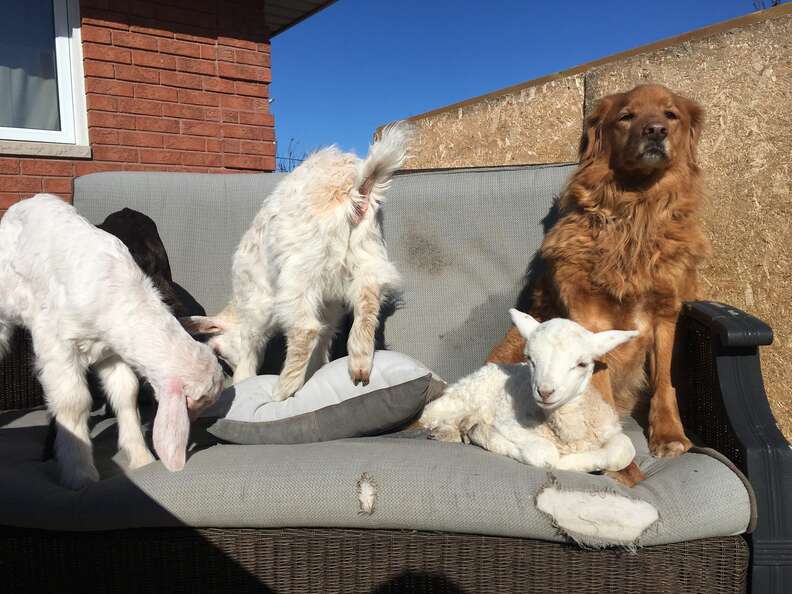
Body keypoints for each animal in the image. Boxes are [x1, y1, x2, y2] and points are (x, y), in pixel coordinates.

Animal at [0, 193, 224, 486]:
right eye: (198, 401)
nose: (197, 425)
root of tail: (27, 201)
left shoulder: (112, 351)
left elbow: (126, 393)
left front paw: (141, 458)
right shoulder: (57, 344)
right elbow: (72, 403)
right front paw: (80, 474)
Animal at [185, 121, 408, 398]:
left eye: (220, 353)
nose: (227, 370)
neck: (237, 305)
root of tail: (354, 189)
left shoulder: (257, 307)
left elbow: (250, 347)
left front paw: (244, 379)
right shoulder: (330, 304)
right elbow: (325, 335)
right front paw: (317, 370)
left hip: (300, 271)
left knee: (305, 329)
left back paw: (282, 391)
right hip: (368, 252)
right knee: (367, 301)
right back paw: (360, 365)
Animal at [418, 308, 640, 474]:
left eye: (582, 364)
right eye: (530, 358)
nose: (545, 391)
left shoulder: (609, 428)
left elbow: (625, 450)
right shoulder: (508, 424)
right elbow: (545, 455)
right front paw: (484, 434)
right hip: (461, 397)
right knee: (431, 415)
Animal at [488, 82, 712, 472]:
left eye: (670, 114)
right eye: (626, 116)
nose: (656, 130)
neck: (635, 210)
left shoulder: (664, 313)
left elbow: (664, 380)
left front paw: (668, 434)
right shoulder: (590, 319)